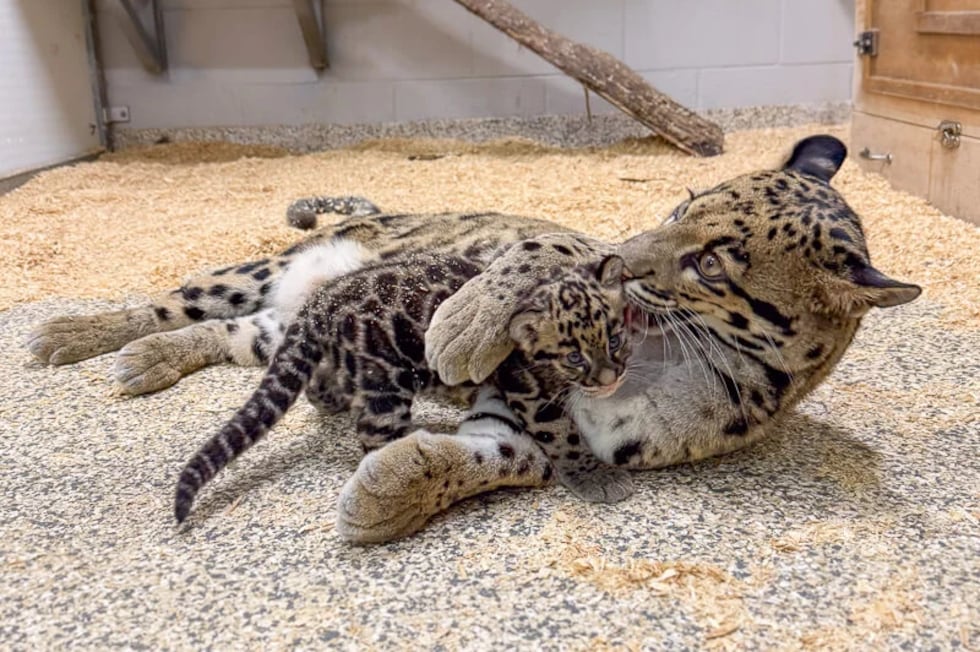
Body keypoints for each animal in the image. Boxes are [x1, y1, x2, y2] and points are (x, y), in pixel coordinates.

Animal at [174, 253, 632, 524]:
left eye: (614, 340)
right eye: (574, 357)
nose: (610, 379)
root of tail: (323, 298)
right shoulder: (527, 390)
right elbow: (561, 435)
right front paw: (593, 475)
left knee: (320, 387)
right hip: (385, 381)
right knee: (373, 433)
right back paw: (407, 454)